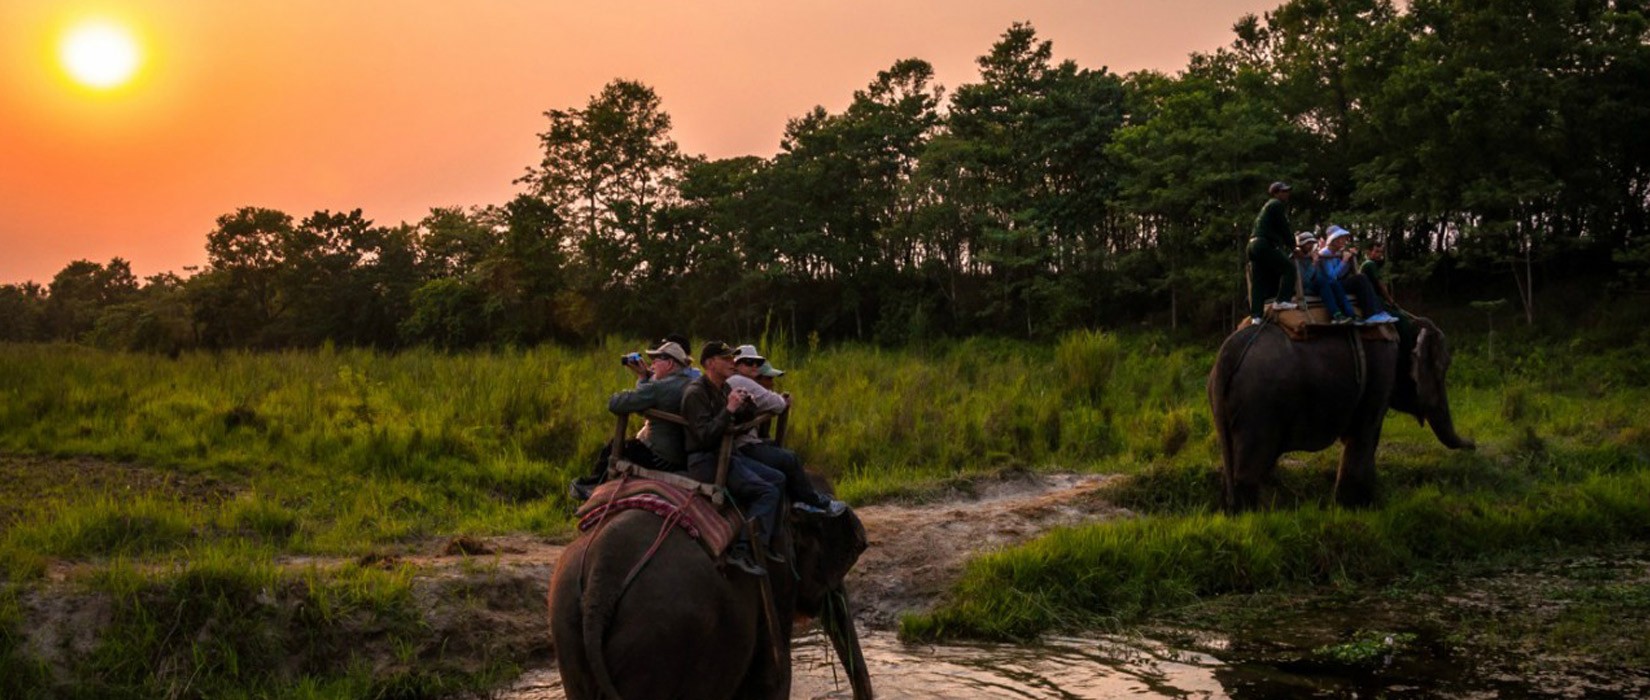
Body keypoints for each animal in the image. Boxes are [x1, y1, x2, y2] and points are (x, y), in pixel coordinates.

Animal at [1207, 315, 1478, 508]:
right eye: (1444, 367)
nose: (1474, 444)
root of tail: (1226, 356)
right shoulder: (1382, 371)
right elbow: (1364, 434)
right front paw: (1357, 507)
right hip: (1260, 404)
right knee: (1248, 469)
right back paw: (1254, 515)